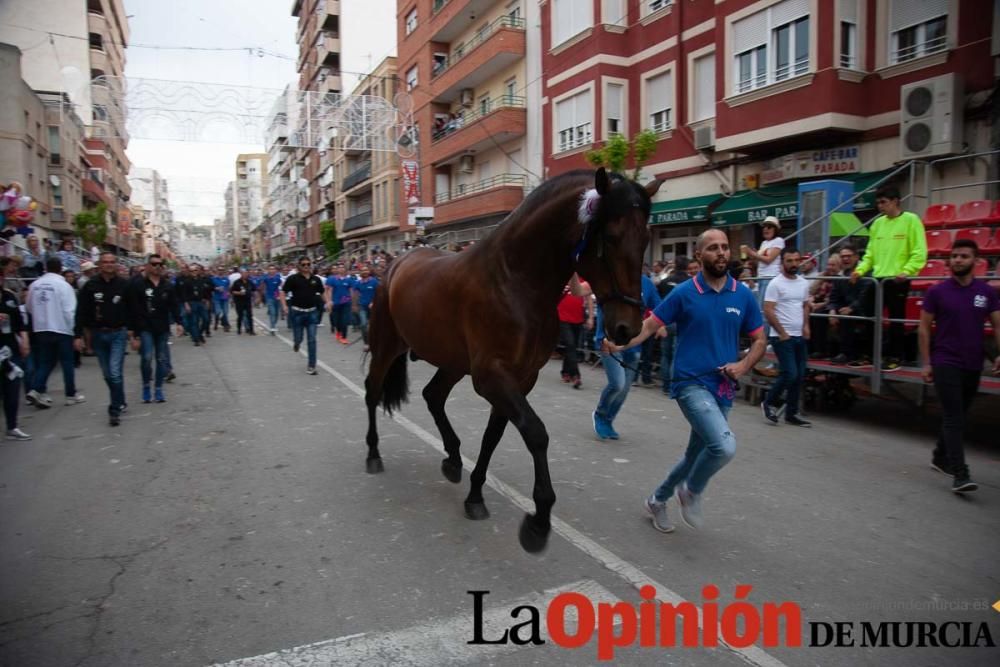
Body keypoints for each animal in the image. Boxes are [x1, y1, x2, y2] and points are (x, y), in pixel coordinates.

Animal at [364, 168, 660, 552]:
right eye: (610, 237)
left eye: (646, 237)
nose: (628, 328)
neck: (515, 281)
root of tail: (395, 263)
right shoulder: (492, 376)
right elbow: (536, 433)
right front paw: (539, 520)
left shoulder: (520, 379)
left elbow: (493, 436)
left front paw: (475, 495)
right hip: (386, 346)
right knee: (372, 392)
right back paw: (374, 454)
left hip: (452, 362)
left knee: (433, 396)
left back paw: (453, 458)